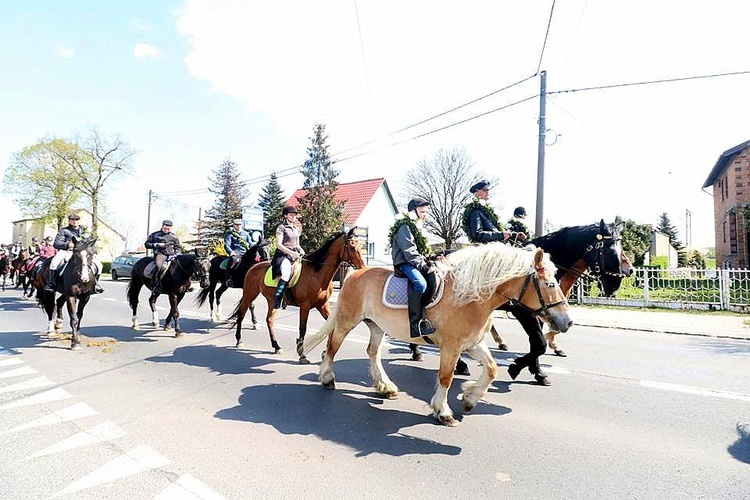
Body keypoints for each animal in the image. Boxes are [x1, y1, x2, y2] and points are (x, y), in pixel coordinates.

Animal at [231, 228, 368, 364]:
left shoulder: (322, 305)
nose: (363, 268)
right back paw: (239, 340)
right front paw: (302, 355)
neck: (316, 274)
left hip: (272, 301)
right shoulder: (305, 306)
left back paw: (276, 346)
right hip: (249, 294)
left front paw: (325, 353)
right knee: (242, 314)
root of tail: (252, 267)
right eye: (352, 246)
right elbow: (303, 328)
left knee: (269, 320)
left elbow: (331, 327)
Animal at [302, 242, 572, 426]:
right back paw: (327, 378)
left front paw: (470, 398)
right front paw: (443, 411)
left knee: (372, 353)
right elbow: (446, 377)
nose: (568, 322)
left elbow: (492, 369)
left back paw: (386, 387)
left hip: (376, 325)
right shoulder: (452, 346)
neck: (470, 296)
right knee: (332, 346)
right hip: (347, 321)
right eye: (550, 284)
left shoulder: (472, 343)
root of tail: (352, 274)